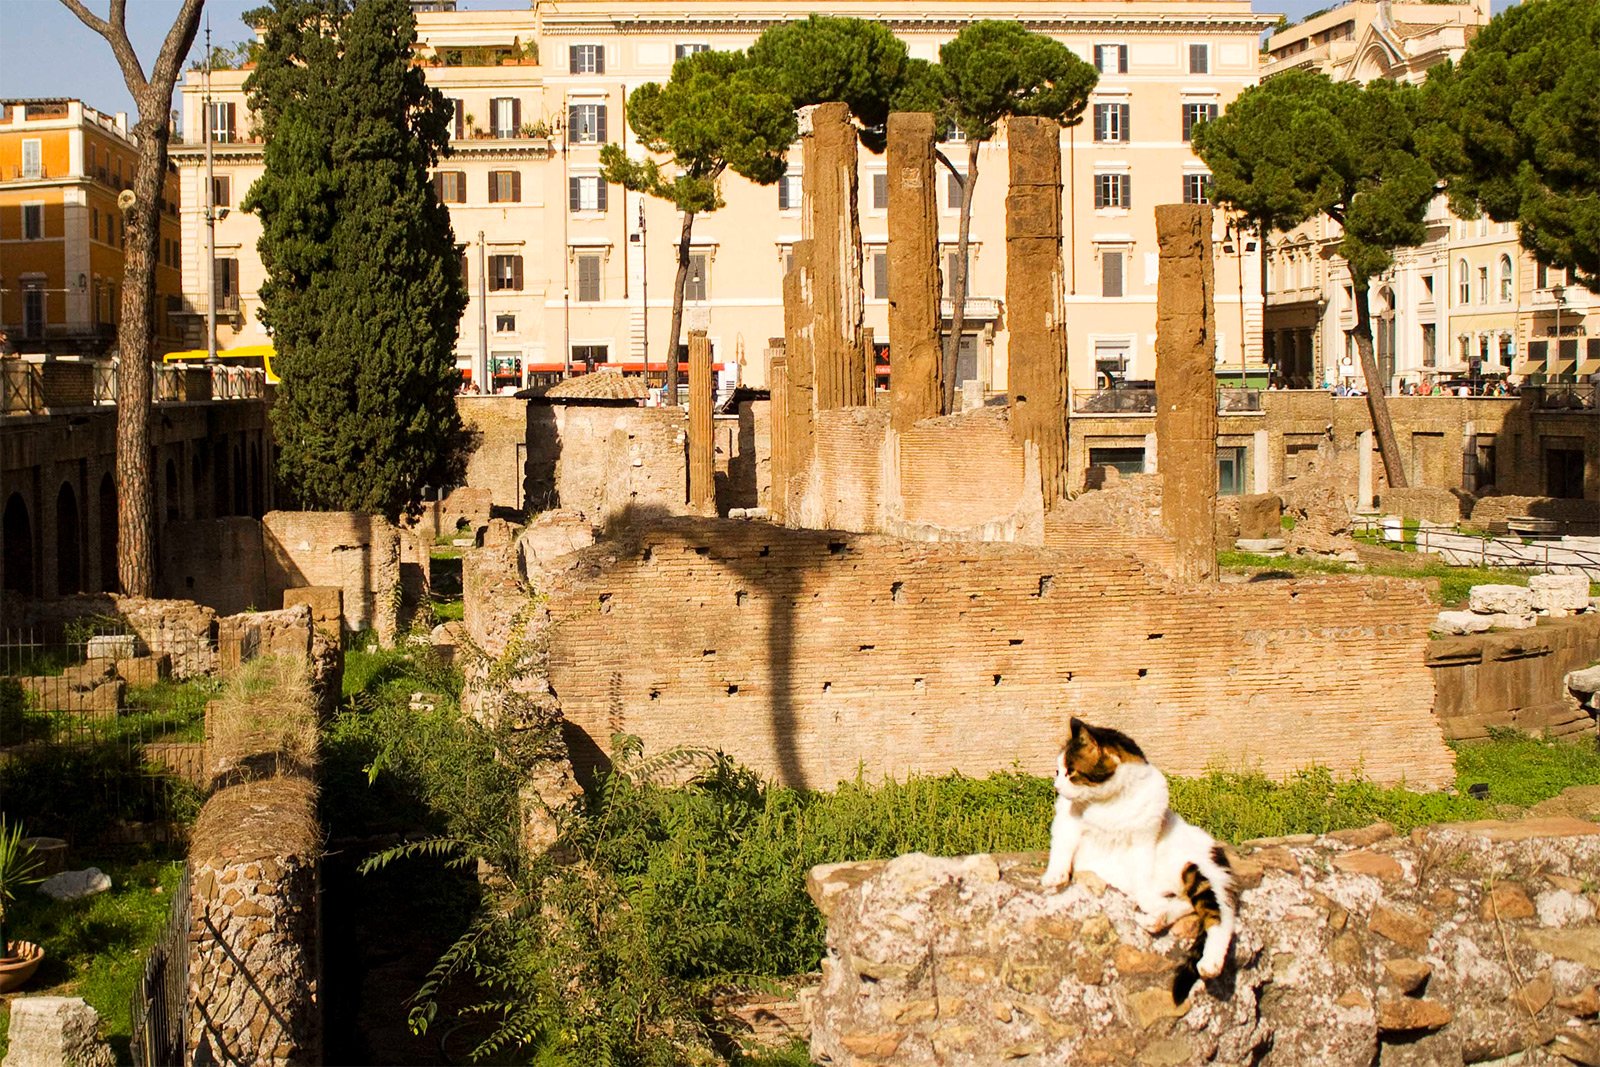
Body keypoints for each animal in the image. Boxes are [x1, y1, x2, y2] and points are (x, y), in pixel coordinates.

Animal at [1036, 723, 1235, 979]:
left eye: (1071, 772)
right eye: (1057, 771)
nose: (1056, 787)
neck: (1110, 803)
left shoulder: (1144, 838)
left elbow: (1142, 866)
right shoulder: (1066, 820)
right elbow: (1061, 847)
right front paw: (1055, 876)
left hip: (1199, 872)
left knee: (1219, 918)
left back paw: (1210, 962)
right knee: (1183, 904)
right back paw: (1156, 920)